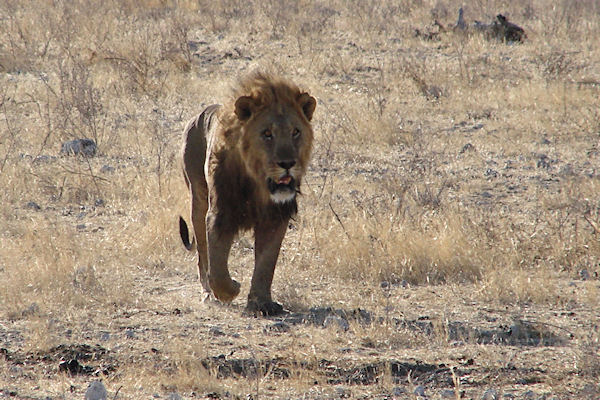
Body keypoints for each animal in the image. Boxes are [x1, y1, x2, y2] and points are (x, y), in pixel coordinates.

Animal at [178, 72, 316, 316]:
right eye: (267, 134)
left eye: (296, 132)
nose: (287, 163)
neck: (258, 184)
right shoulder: (219, 213)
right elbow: (217, 268)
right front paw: (230, 290)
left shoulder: (275, 217)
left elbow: (266, 264)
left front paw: (262, 303)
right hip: (198, 199)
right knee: (202, 254)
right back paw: (207, 294)